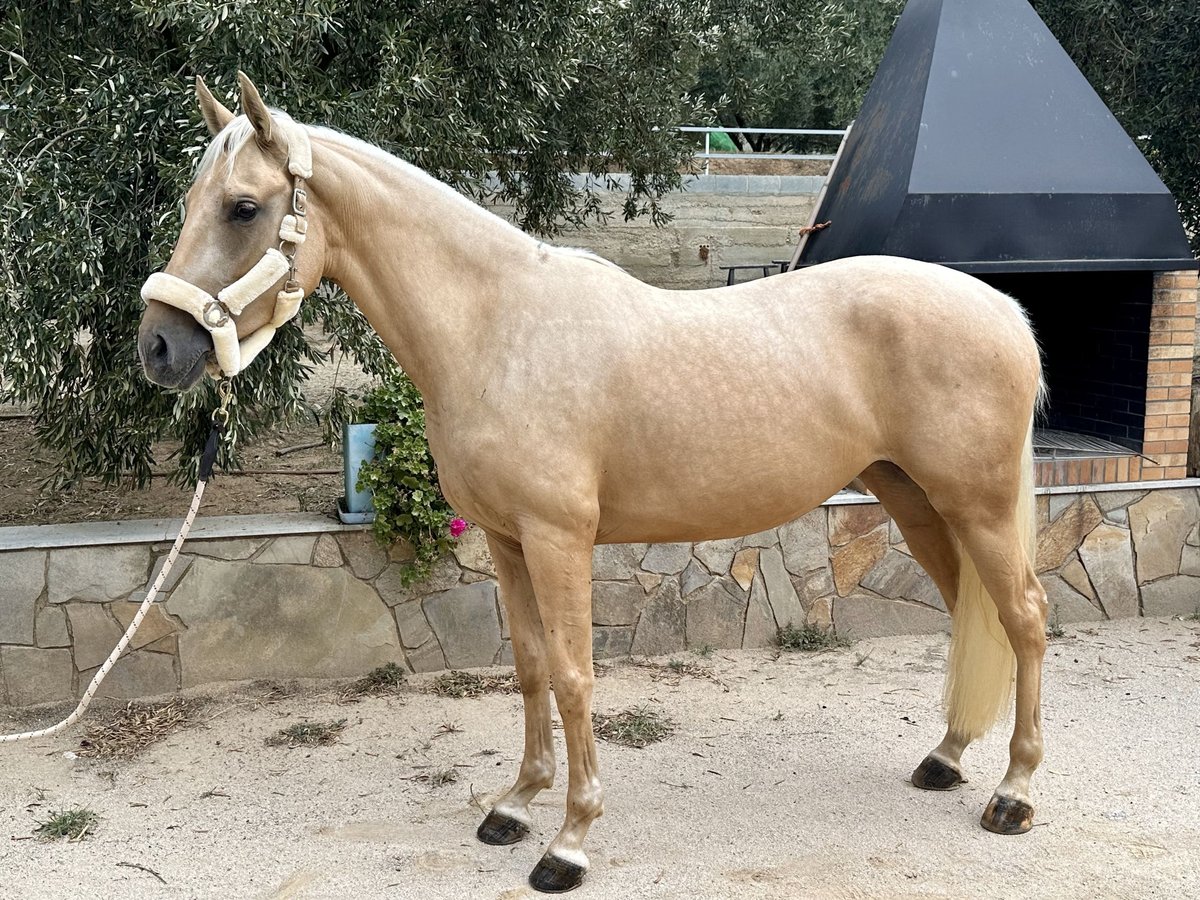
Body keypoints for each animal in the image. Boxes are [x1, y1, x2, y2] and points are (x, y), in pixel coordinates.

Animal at [136, 75, 1046, 897]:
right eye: (193, 199)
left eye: (243, 208)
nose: (159, 348)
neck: (496, 327)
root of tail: (1001, 307)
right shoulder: (506, 541)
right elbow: (532, 668)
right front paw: (515, 805)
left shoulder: (557, 539)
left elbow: (576, 677)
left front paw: (569, 843)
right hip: (914, 501)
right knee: (971, 610)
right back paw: (947, 758)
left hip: (978, 505)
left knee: (1024, 618)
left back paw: (1013, 793)